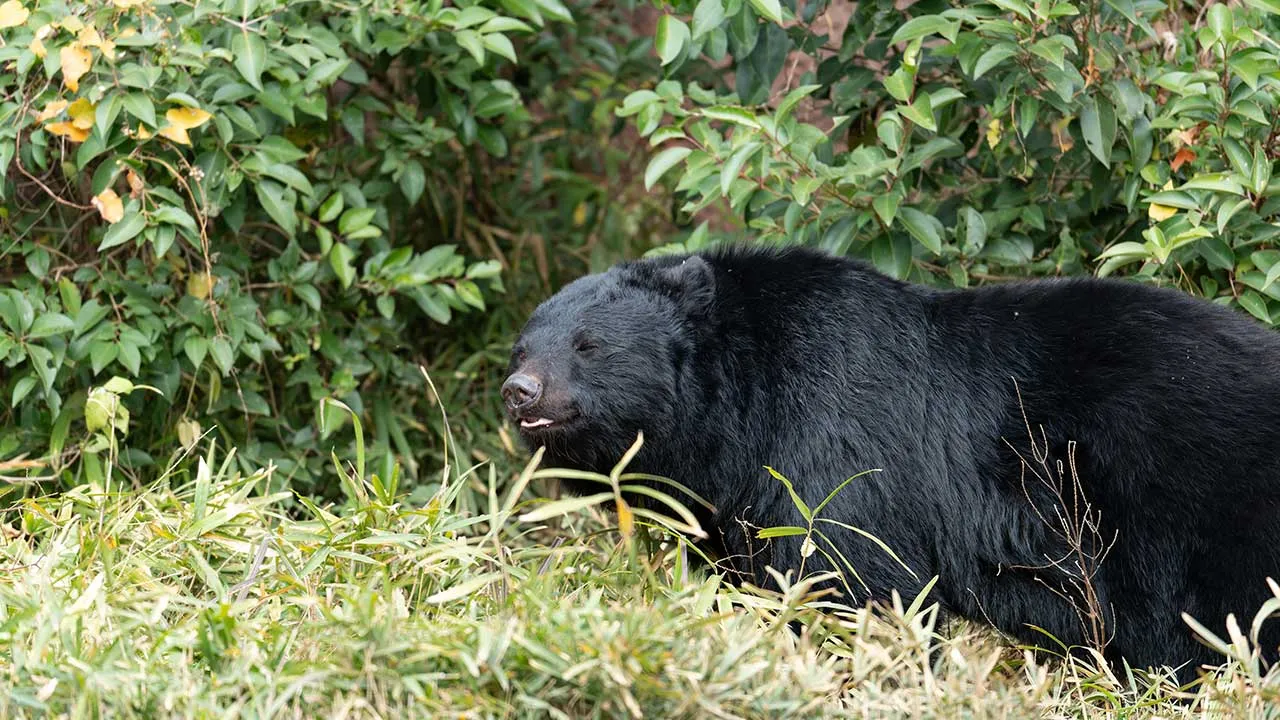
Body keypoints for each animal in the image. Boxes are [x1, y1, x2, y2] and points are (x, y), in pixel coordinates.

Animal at [502, 244, 1280, 681]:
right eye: (523, 345)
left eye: (588, 345)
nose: (519, 392)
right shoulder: (726, 497)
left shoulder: (831, 430)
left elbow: (852, 573)